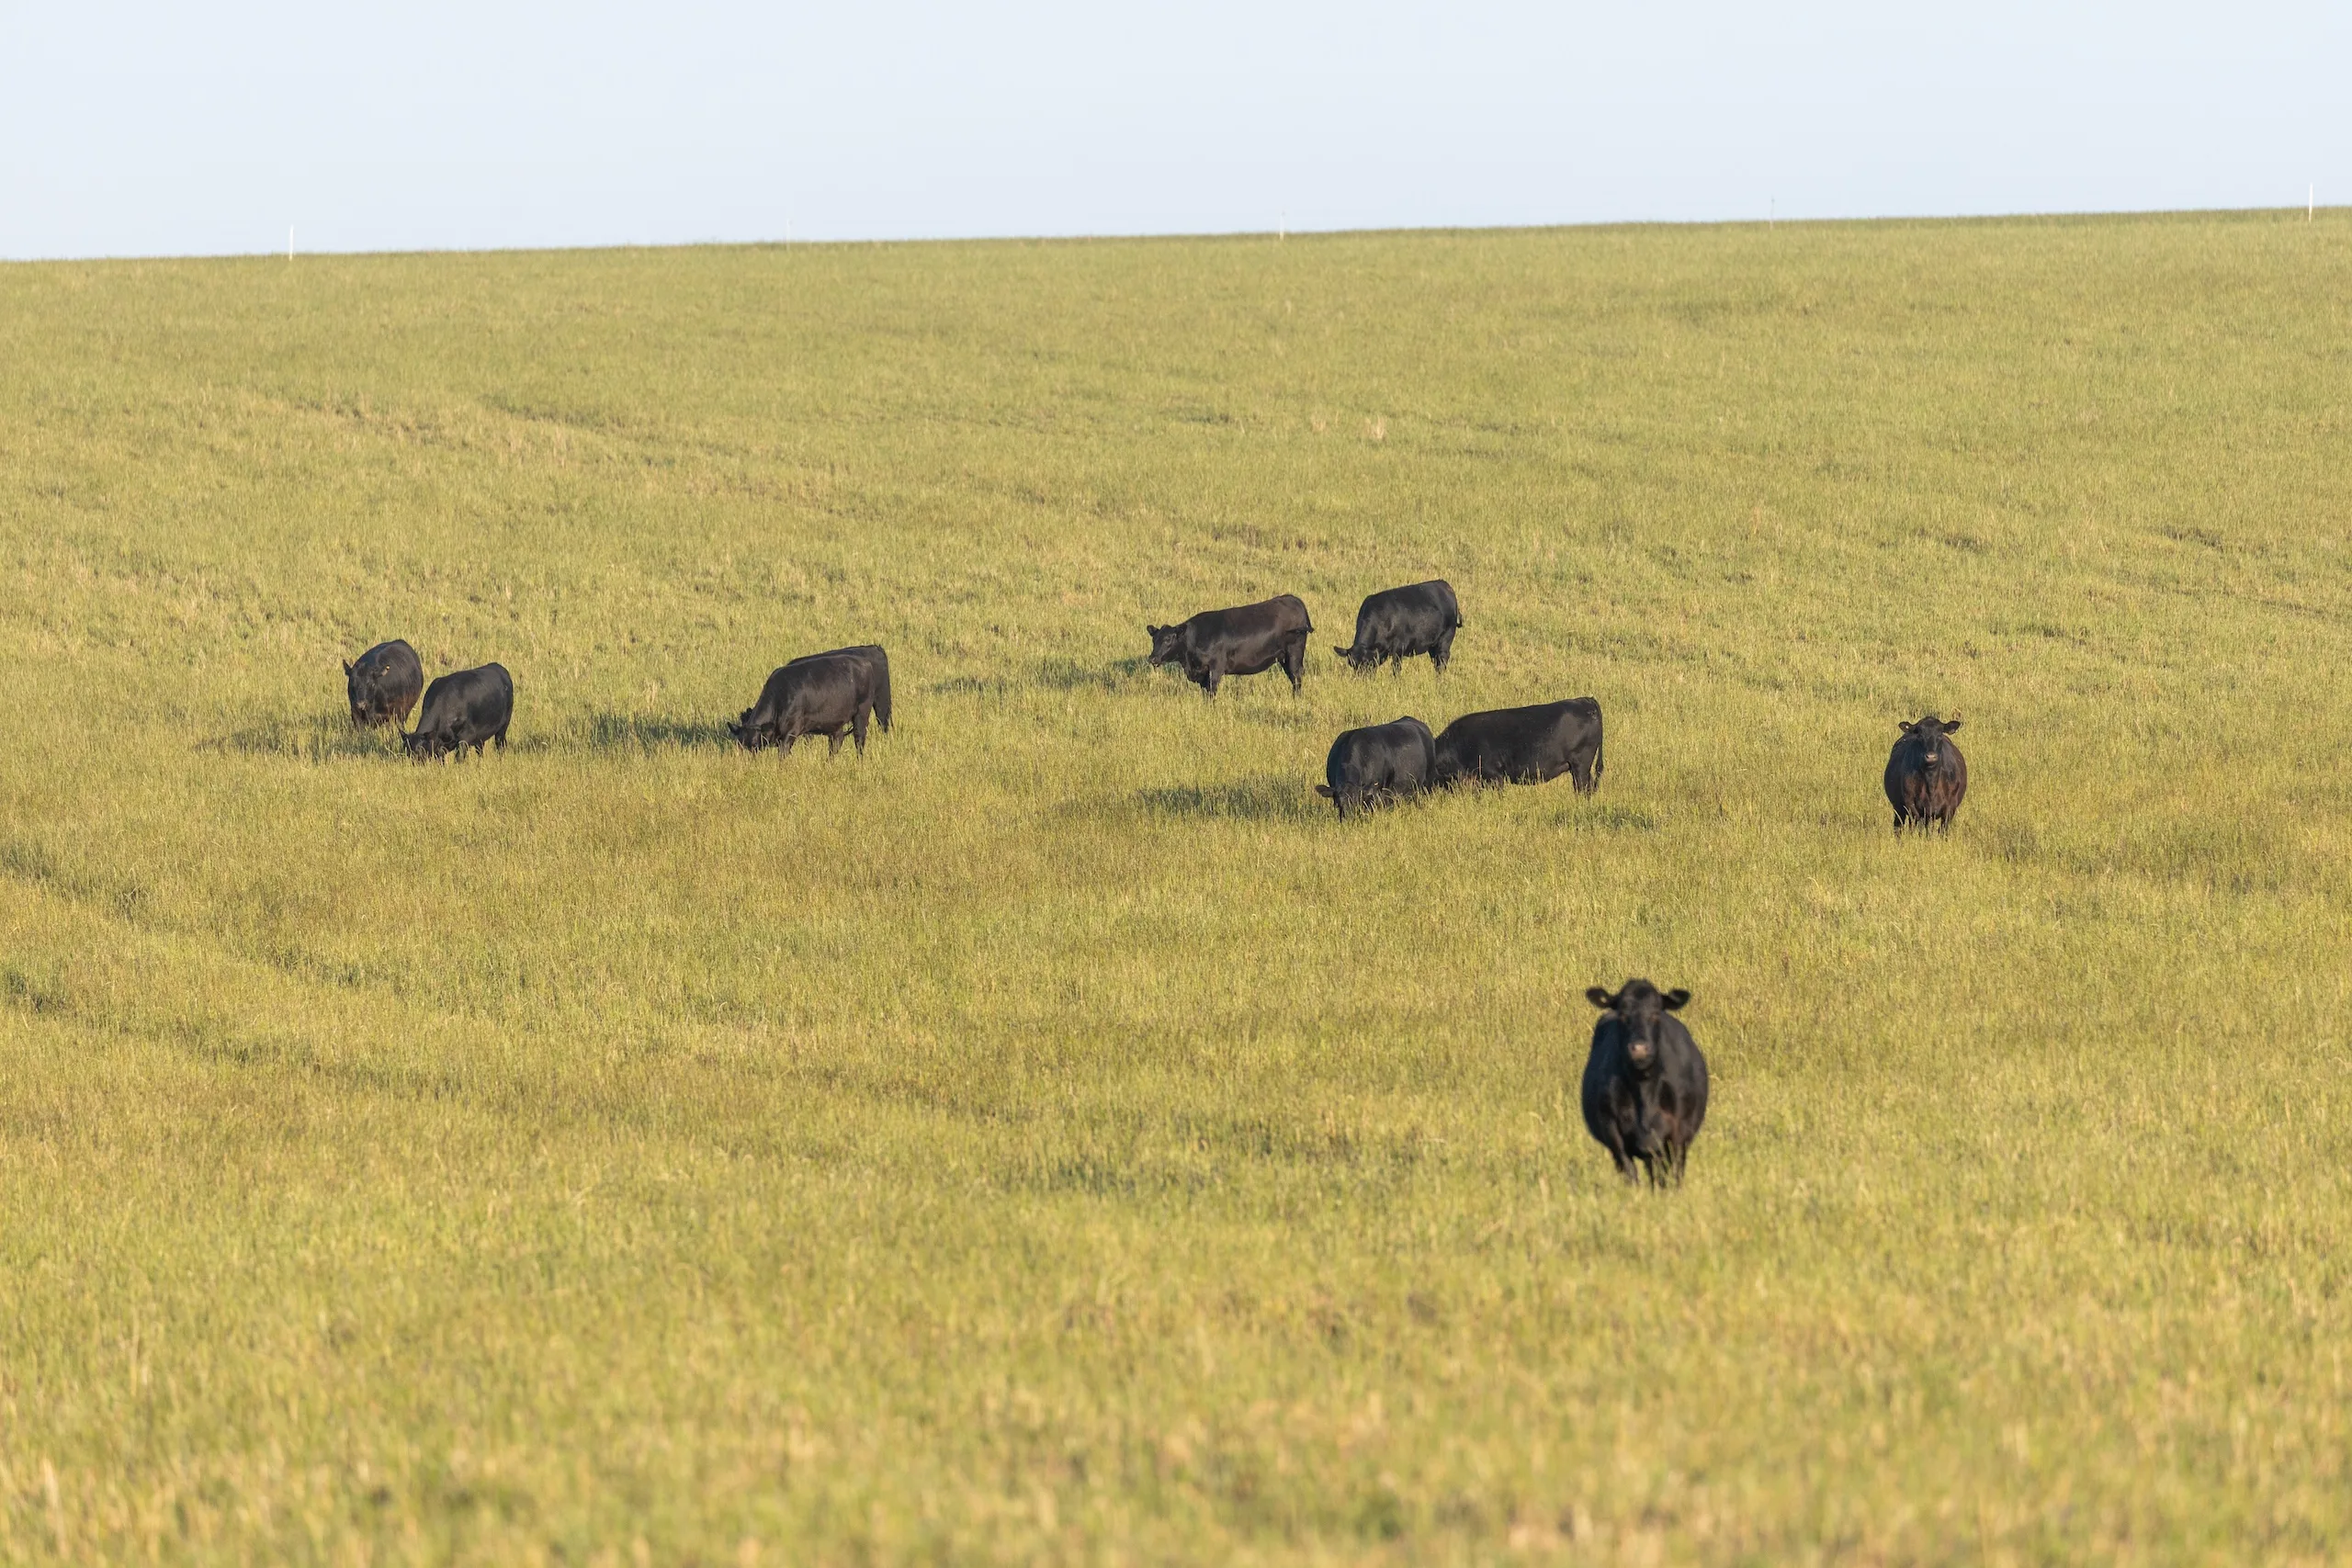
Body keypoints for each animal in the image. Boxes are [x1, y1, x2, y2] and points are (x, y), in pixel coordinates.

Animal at [729, 653, 874, 756]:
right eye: (740, 745)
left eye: (755, 745)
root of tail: (864, 662)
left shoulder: (791, 731)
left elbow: (783, 753)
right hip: (835, 721)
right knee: (836, 742)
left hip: (862, 712)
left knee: (859, 740)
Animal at [1144, 594, 1312, 697]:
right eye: (1154, 640)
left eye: (1168, 639)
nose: (1152, 658)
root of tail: (1294, 599)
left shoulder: (1215, 668)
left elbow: (1212, 692)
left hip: (1294, 653)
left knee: (1296, 677)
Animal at [1334, 580, 1462, 674]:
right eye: (1352, 664)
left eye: (1367, 663)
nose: (1362, 678)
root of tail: (1445, 585)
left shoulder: (1399, 647)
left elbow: (1396, 668)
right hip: (1432, 645)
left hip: (1446, 638)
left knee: (1442, 660)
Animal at [1580, 979, 1710, 1187]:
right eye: (1623, 1014)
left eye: (1656, 1014)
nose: (1639, 1048)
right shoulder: (1612, 1131)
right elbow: (1630, 1173)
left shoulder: (1678, 1133)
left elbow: (1673, 1173)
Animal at [1885, 713, 1967, 832]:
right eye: (1920, 735)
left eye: (1940, 734)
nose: (1931, 756)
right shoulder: (1912, 805)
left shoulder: (1950, 807)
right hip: (1898, 808)